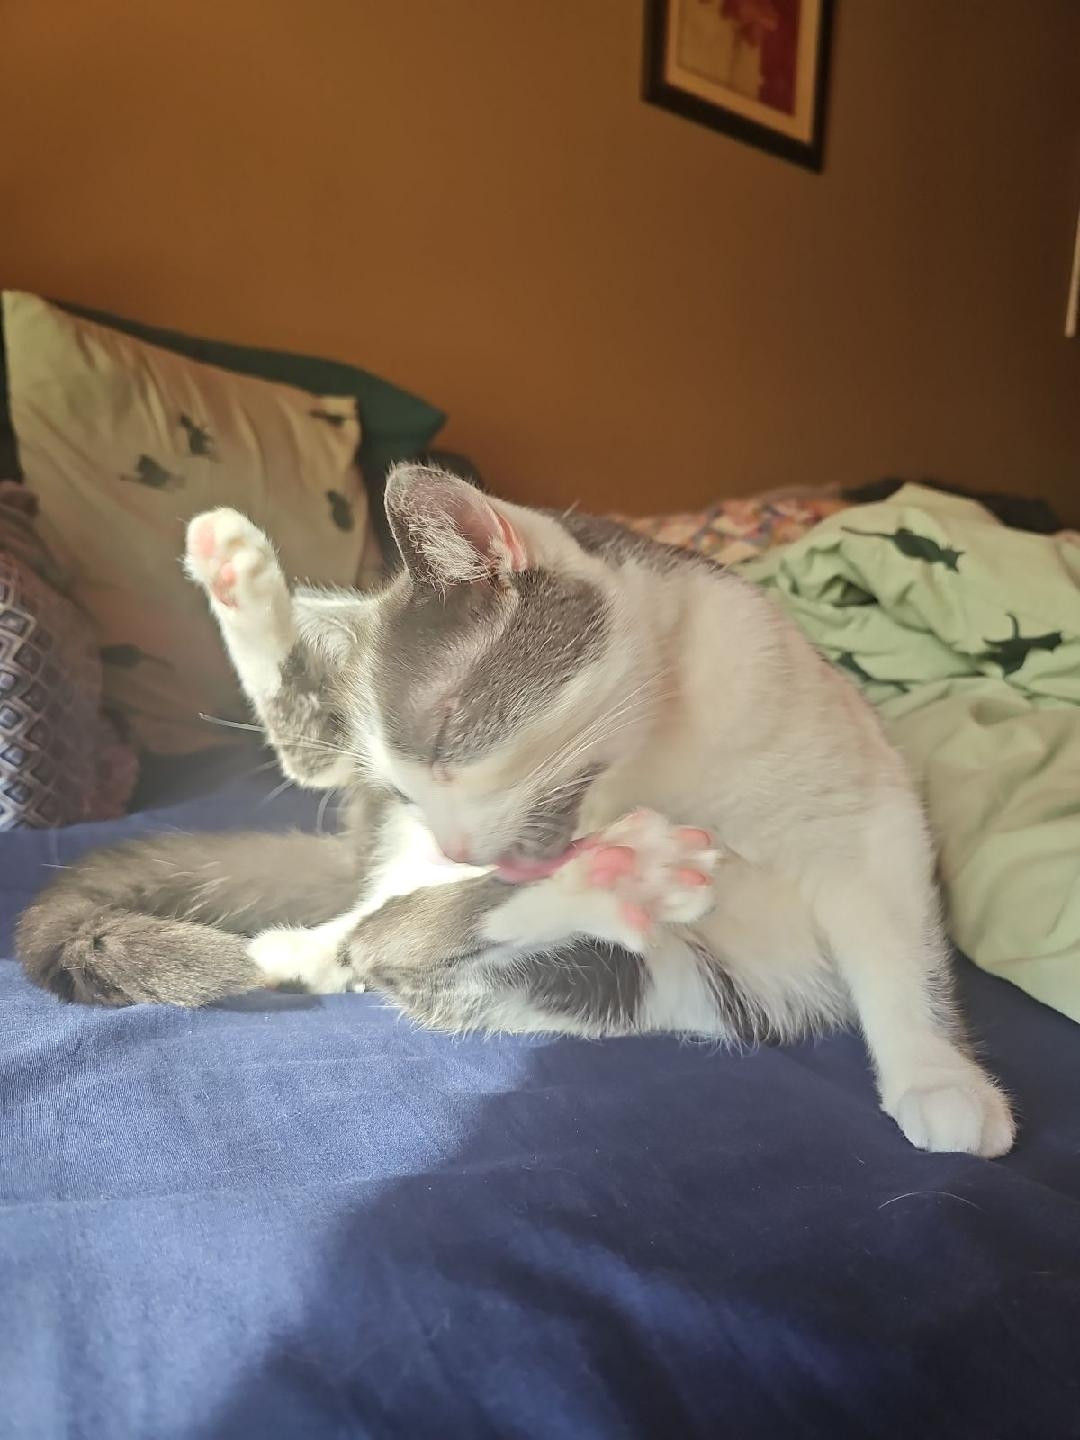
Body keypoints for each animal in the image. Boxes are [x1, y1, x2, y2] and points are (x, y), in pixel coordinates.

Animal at [16, 466, 1013, 1152]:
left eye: (451, 728)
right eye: (403, 779)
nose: (455, 843)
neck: (656, 767)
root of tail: (365, 866)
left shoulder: (865, 808)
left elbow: (900, 955)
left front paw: (938, 1077)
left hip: (640, 982)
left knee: (387, 939)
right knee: (361, 866)